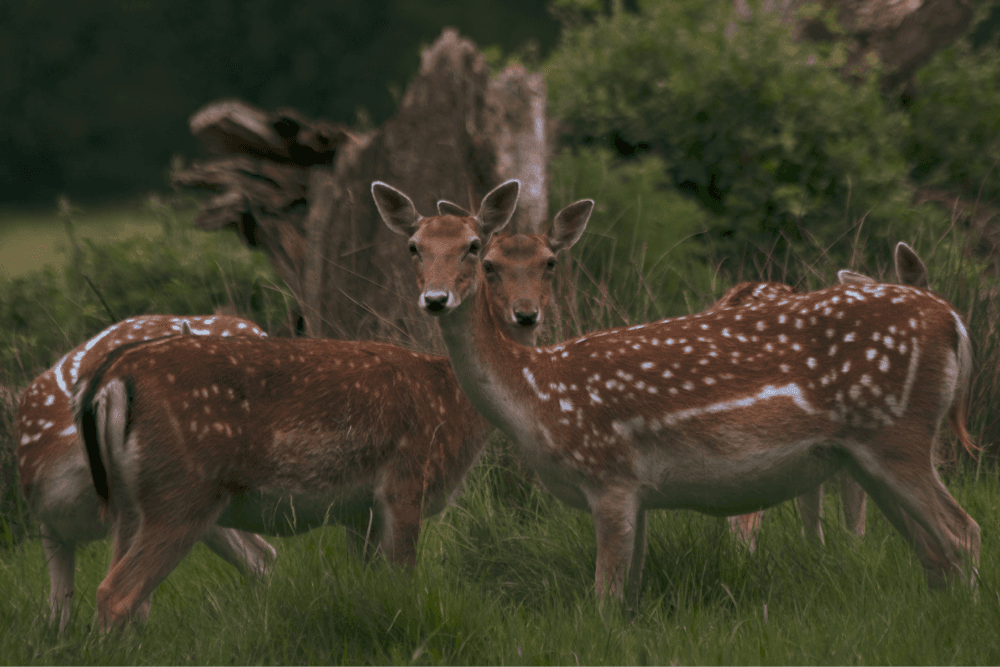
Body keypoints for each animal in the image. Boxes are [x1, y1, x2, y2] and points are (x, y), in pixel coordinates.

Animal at [374, 177, 976, 604]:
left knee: (962, 533)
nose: (435, 299)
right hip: (863, 455)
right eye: (413, 247)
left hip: (897, 434)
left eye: (474, 247)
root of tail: (951, 320)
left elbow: (605, 598)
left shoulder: (609, 474)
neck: (538, 395)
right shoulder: (639, 492)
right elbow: (632, 597)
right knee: (933, 551)